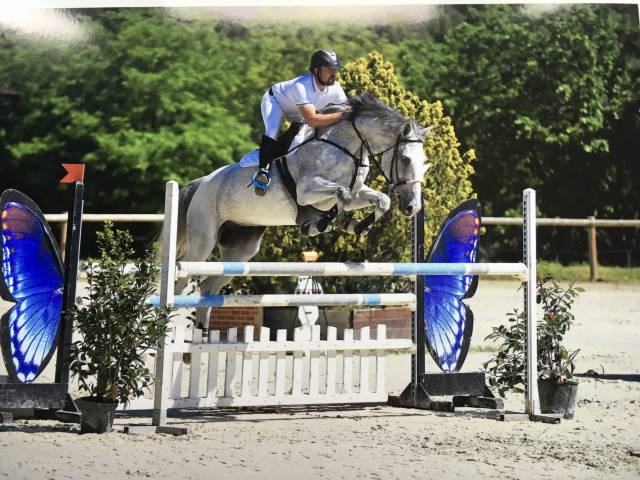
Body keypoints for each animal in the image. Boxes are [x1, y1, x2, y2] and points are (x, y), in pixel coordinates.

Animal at [175, 92, 430, 328]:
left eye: (424, 161)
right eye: (405, 159)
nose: (412, 207)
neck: (348, 145)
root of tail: (202, 183)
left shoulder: (358, 191)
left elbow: (380, 200)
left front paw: (357, 225)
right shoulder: (306, 190)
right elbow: (342, 196)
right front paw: (321, 223)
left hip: (240, 251)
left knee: (208, 287)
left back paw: (202, 337)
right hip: (203, 241)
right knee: (182, 277)